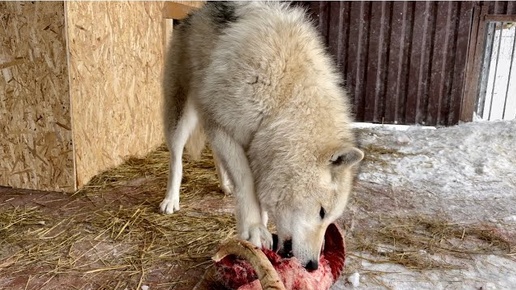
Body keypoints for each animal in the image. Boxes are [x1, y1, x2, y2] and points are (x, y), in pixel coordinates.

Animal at [161, 1, 362, 270]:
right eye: (321, 212)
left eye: (330, 219)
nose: (313, 265)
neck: (283, 100)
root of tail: (194, 13)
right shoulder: (227, 129)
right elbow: (246, 182)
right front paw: (254, 228)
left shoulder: (258, 145)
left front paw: (262, 225)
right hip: (182, 117)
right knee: (176, 157)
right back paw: (171, 200)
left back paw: (225, 185)